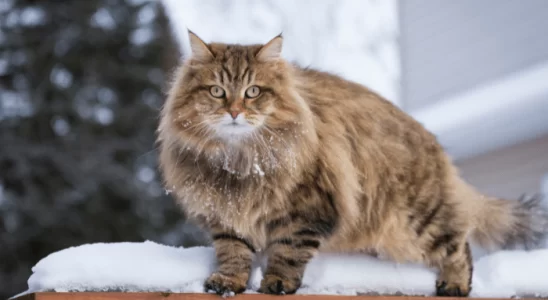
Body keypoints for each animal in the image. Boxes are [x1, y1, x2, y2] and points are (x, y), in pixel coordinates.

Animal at [155, 31, 548, 298]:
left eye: (253, 92)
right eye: (216, 91)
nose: (234, 112)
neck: (240, 161)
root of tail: (430, 140)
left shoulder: (308, 209)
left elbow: (288, 251)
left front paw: (277, 282)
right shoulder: (226, 214)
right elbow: (233, 252)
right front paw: (229, 282)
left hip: (420, 217)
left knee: (459, 244)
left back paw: (453, 284)